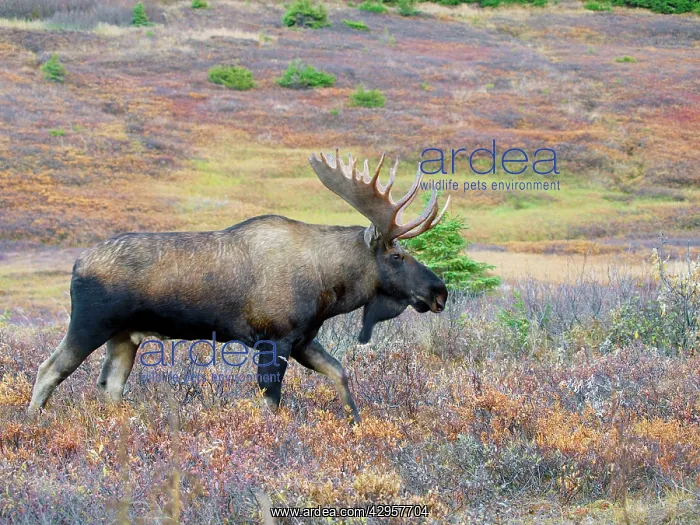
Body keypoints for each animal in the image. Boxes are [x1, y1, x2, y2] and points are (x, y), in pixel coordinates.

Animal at [28, 150, 450, 424]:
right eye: (397, 255)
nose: (440, 291)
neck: (330, 288)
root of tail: (75, 265)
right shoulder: (274, 338)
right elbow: (272, 403)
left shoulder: (302, 339)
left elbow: (340, 373)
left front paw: (356, 422)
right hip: (90, 323)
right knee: (48, 369)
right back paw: (32, 424)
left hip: (124, 336)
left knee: (109, 385)